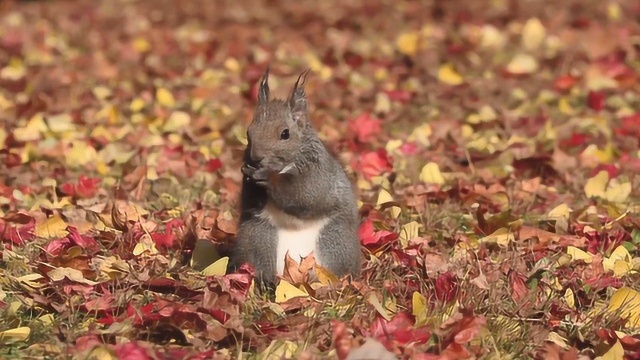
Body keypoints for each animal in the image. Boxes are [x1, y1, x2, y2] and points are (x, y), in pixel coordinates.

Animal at [231, 67, 362, 286]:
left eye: (285, 134)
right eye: (249, 132)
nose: (257, 158)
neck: (285, 168)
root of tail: (295, 277)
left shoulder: (318, 175)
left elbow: (306, 197)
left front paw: (268, 178)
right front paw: (251, 174)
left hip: (334, 244)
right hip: (257, 239)